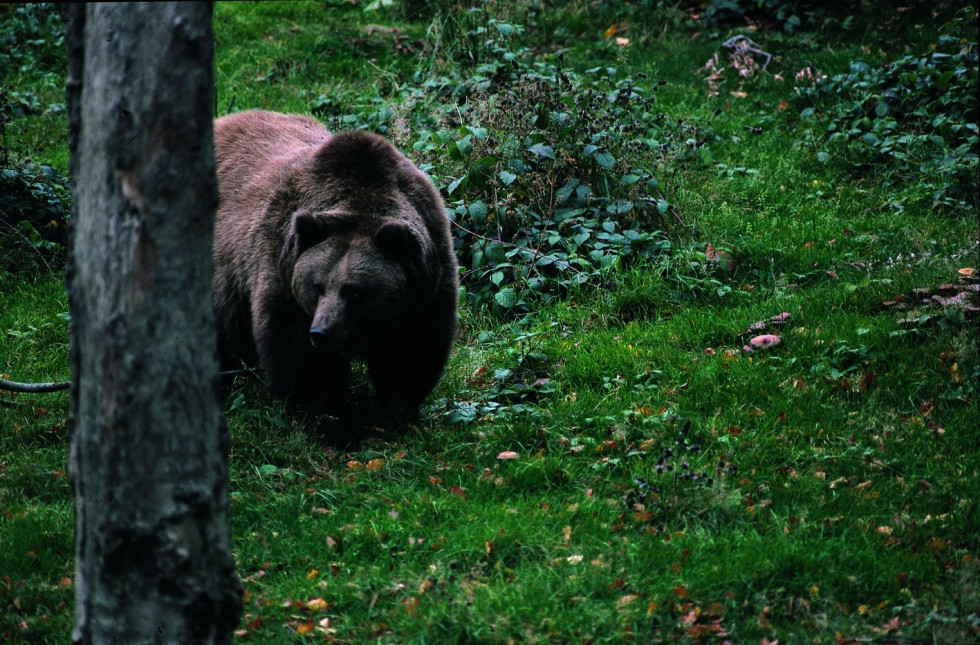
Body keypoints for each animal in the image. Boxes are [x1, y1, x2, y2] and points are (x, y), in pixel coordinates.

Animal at [212, 109, 458, 418]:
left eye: (354, 290)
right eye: (316, 286)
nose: (321, 332)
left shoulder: (425, 286)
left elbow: (410, 351)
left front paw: (399, 407)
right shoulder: (282, 269)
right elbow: (301, 360)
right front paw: (324, 411)